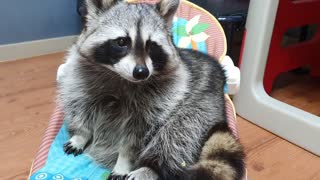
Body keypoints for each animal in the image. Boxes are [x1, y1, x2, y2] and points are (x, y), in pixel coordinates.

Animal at [58, 0, 245, 180]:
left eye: (151, 46)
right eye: (121, 42)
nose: (141, 72)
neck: (121, 77)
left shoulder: (158, 103)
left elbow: (136, 138)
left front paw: (124, 162)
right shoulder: (81, 80)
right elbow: (80, 106)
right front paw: (81, 135)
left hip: (201, 103)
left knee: (178, 133)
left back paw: (151, 168)